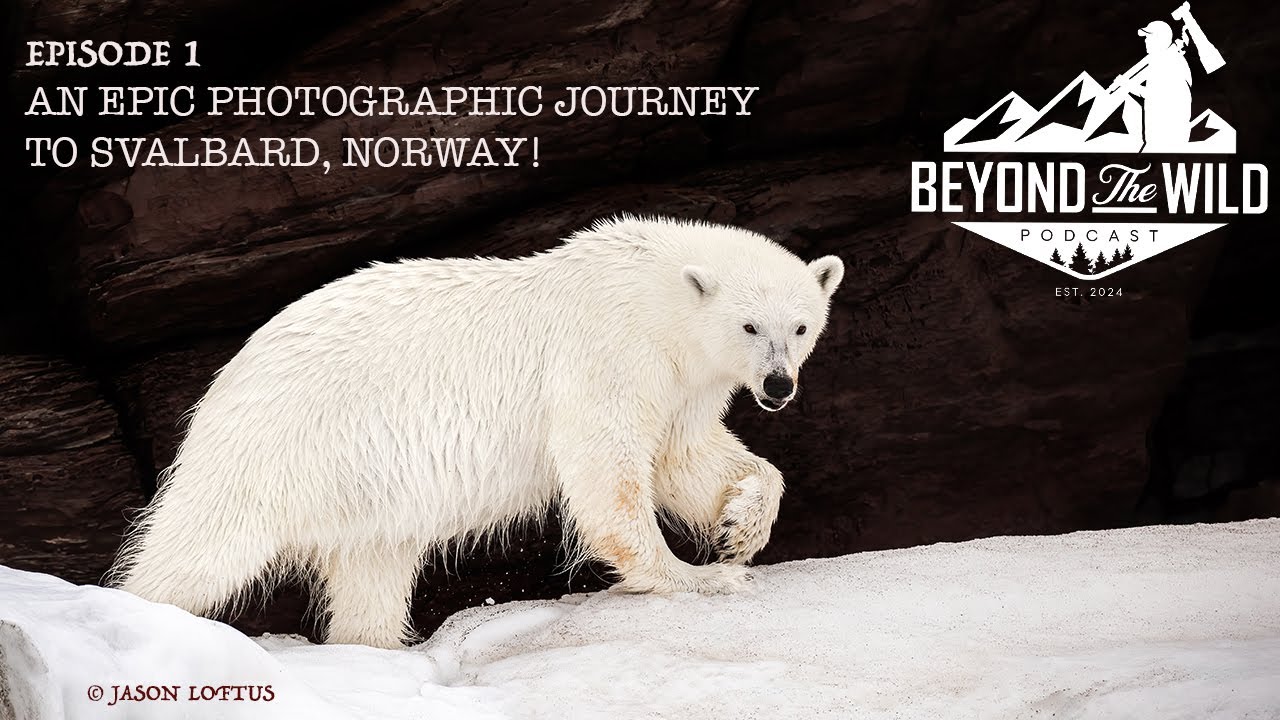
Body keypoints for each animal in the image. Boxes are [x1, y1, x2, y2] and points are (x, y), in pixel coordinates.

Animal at [109, 215, 844, 649]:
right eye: (750, 324)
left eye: (801, 326)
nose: (778, 387)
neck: (654, 292)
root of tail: (230, 373)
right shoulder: (608, 350)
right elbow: (608, 470)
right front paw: (694, 577)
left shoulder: (684, 381)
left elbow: (683, 456)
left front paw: (740, 526)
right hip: (279, 442)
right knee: (205, 544)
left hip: (366, 485)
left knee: (373, 568)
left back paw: (373, 645)